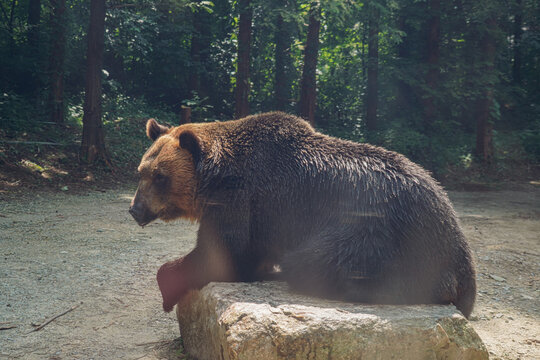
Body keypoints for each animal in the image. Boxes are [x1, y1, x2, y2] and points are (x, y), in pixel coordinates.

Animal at [129, 112, 474, 318]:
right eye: (140, 172)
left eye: (159, 177)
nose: (135, 209)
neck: (212, 179)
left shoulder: (241, 198)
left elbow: (223, 254)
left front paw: (169, 285)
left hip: (379, 232)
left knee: (315, 261)